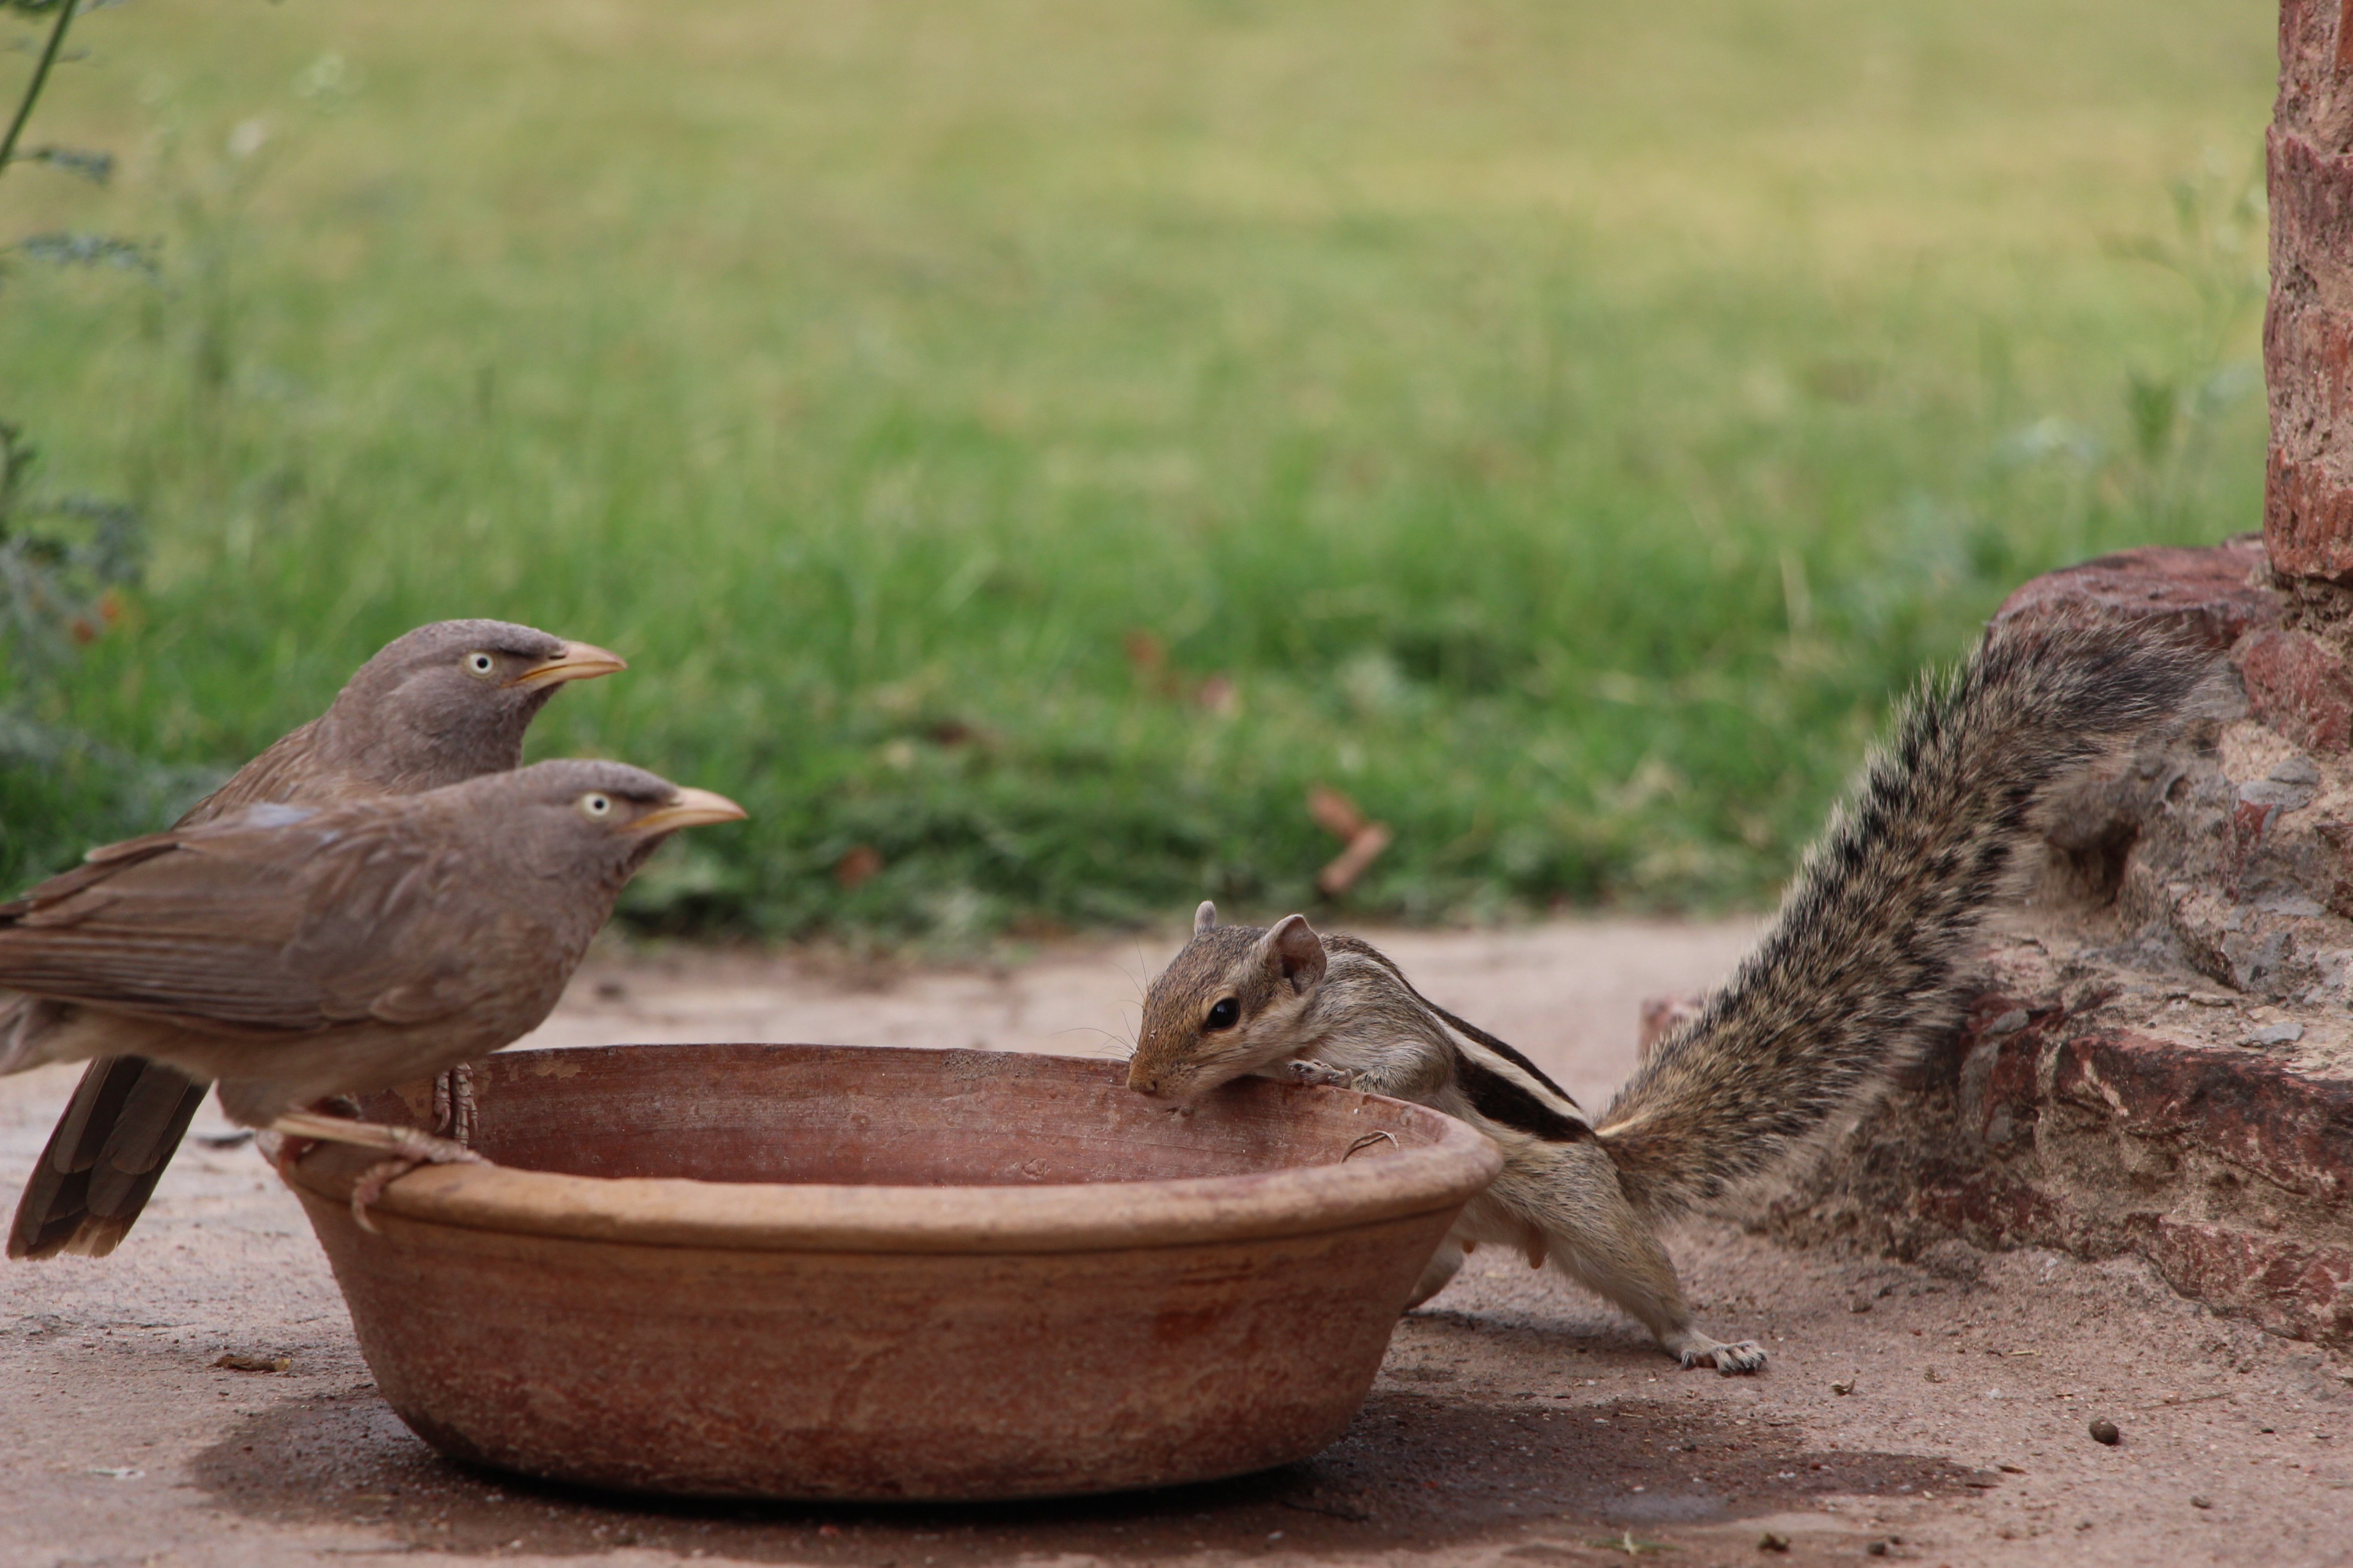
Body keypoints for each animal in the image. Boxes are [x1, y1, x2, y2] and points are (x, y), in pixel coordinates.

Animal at [1128, 619, 2212, 1373]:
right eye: (1149, 999)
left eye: (1223, 1013)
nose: (1139, 1087)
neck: (1321, 994)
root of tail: (1611, 1155)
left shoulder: (1388, 1022)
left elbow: (1416, 1061)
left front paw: (1323, 1073)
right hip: (1455, 1224)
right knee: (1434, 1265)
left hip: (1592, 1221)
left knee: (1650, 1284)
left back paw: (1705, 1341)